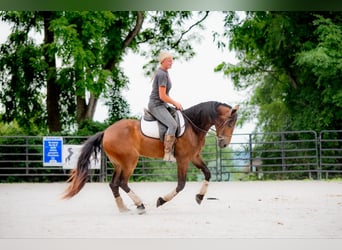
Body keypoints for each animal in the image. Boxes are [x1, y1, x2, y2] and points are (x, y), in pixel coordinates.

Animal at [62, 100, 238, 214]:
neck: (193, 126)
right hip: (130, 161)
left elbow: (208, 173)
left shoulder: (194, 156)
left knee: (114, 184)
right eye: (230, 123)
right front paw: (161, 200)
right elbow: (181, 185)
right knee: (122, 182)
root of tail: (106, 131)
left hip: (119, 164)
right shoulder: (183, 159)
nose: (224, 144)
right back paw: (139, 205)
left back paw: (123, 208)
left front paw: (200, 197)